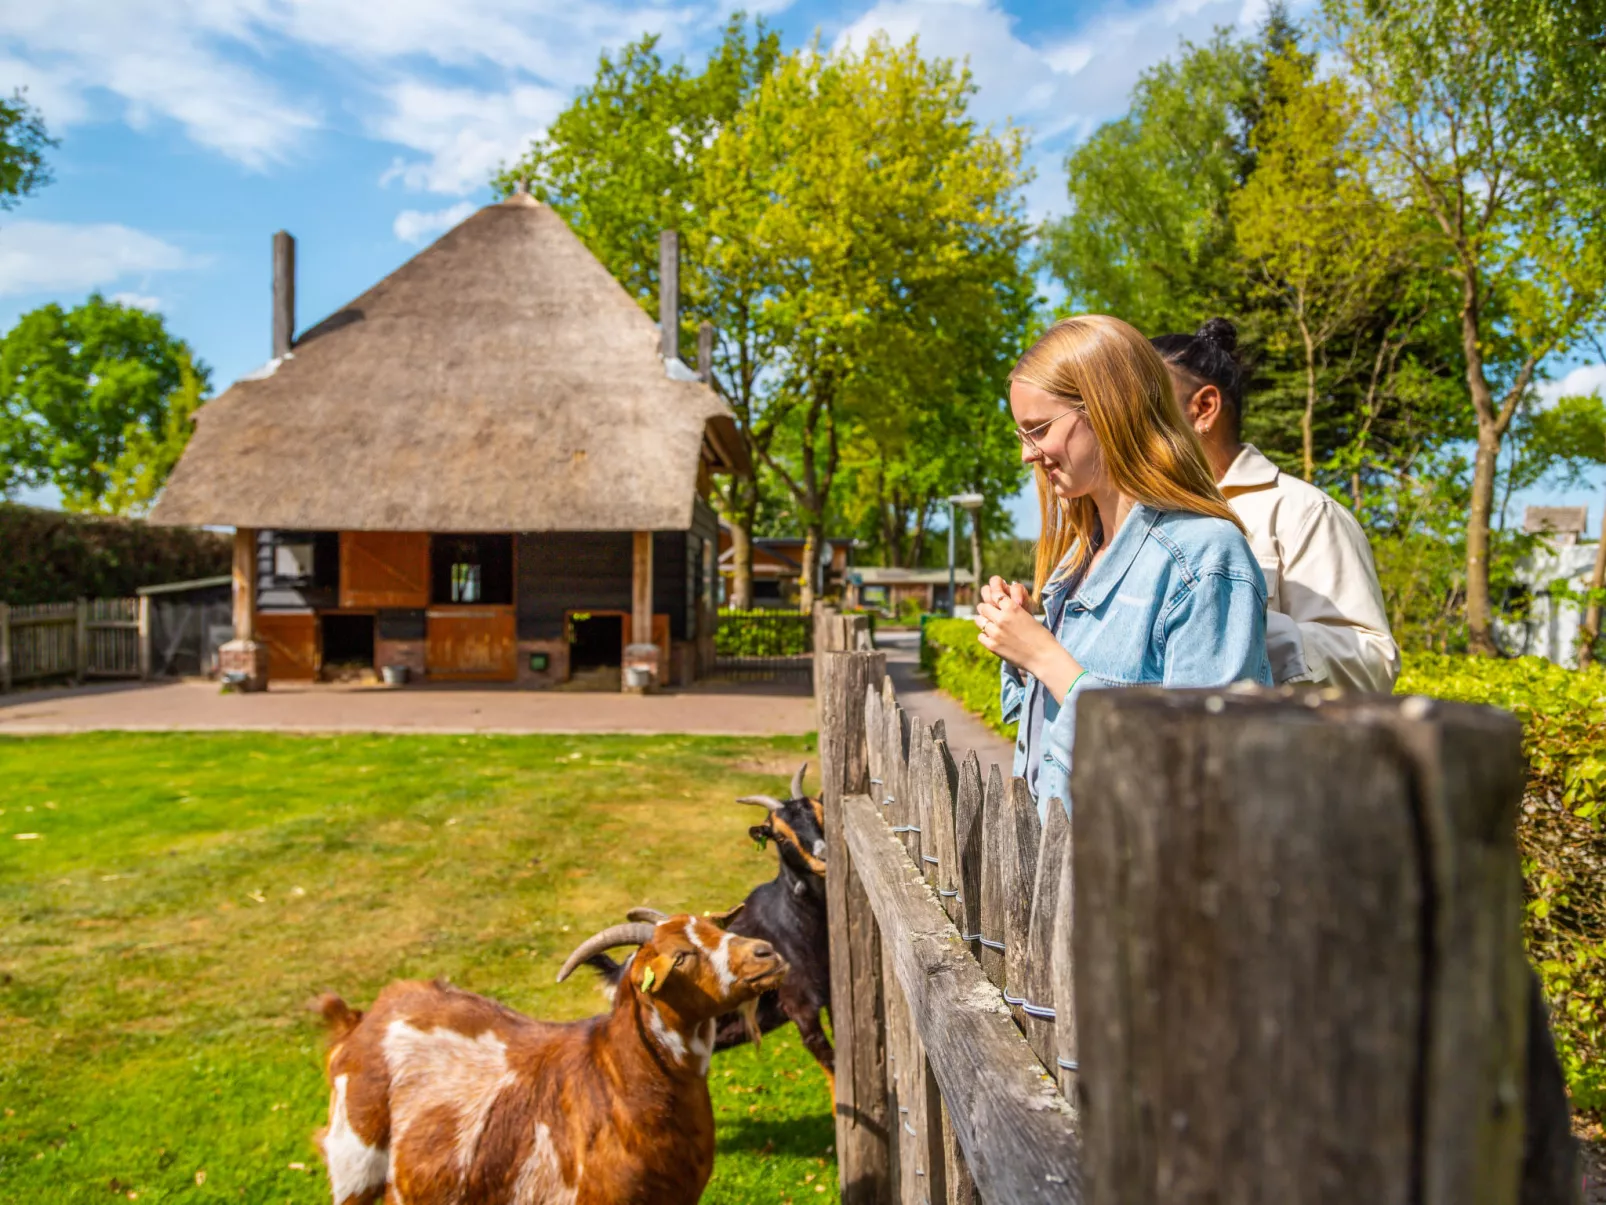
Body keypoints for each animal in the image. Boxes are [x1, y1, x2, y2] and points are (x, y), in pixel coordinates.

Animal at [308, 912, 783, 1205]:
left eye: (713, 926)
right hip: (354, 1163)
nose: (766, 953)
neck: (618, 1079)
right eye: (681, 957)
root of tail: (358, 1020)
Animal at [594, 767, 841, 1092]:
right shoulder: (800, 1007)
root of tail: (616, 973)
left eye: (822, 813)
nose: (824, 857)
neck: (797, 922)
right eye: (779, 834)